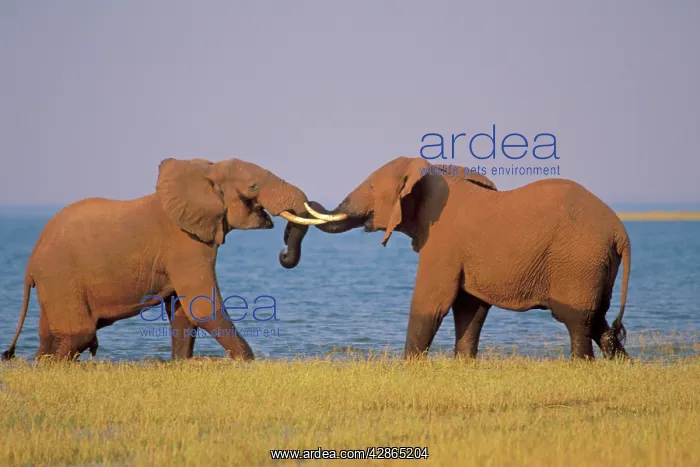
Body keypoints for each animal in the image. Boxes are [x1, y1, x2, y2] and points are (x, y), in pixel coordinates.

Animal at [1, 158, 327, 362]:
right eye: (253, 188)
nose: (283, 252)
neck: (204, 174)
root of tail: (30, 264)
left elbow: (183, 310)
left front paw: (181, 363)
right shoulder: (185, 243)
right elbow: (201, 304)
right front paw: (247, 361)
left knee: (51, 337)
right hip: (61, 278)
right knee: (79, 335)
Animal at [303, 156, 631, 360]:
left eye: (371, 187)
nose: (309, 198)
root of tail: (621, 233)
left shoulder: (442, 242)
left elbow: (431, 301)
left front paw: (408, 366)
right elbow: (470, 307)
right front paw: (463, 364)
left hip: (578, 259)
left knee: (576, 319)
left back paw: (581, 364)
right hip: (596, 263)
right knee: (597, 317)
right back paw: (621, 364)